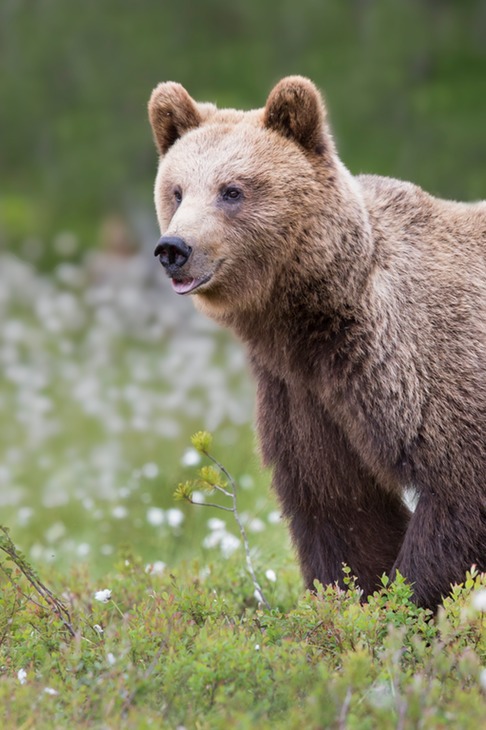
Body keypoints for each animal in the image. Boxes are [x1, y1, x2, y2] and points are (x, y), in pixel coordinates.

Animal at [147, 75, 486, 608]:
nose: (174, 248)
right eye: (177, 190)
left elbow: (458, 494)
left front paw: (408, 596)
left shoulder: (433, 367)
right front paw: (352, 598)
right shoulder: (305, 395)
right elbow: (339, 506)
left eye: (232, 190)